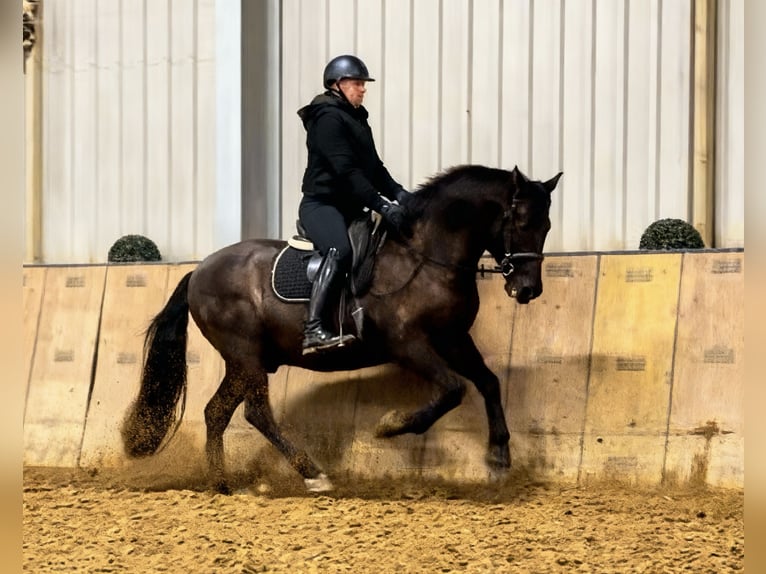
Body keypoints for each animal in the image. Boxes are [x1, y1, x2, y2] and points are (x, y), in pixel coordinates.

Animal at [121, 164, 562, 493]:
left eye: (547, 226)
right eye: (521, 221)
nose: (527, 290)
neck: (426, 258)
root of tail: (199, 271)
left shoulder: (452, 338)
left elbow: (488, 382)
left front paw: (499, 455)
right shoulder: (408, 344)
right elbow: (453, 389)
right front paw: (391, 426)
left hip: (244, 362)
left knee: (217, 413)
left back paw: (223, 484)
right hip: (245, 356)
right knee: (256, 412)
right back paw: (312, 473)